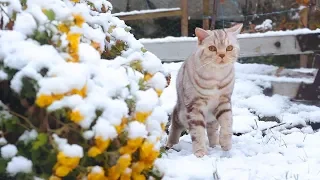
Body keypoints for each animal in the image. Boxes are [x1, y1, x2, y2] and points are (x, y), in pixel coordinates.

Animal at [166, 23, 244, 157]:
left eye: (229, 48)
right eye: (212, 48)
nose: (222, 55)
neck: (216, 77)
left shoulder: (224, 102)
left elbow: (227, 123)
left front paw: (225, 144)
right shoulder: (195, 106)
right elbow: (198, 132)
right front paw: (200, 152)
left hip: (212, 118)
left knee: (212, 130)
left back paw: (215, 145)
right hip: (181, 114)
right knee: (175, 124)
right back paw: (171, 144)